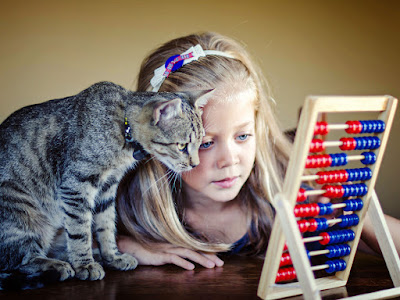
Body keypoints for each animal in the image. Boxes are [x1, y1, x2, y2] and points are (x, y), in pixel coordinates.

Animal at [0, 81, 212, 290]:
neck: (122, 130)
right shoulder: (76, 185)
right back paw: (59, 265)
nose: (195, 164)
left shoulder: (107, 188)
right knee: (20, 260)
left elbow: (106, 225)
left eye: (201, 143)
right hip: (22, 211)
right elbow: (80, 231)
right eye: (182, 146)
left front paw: (112, 256)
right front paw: (84, 264)